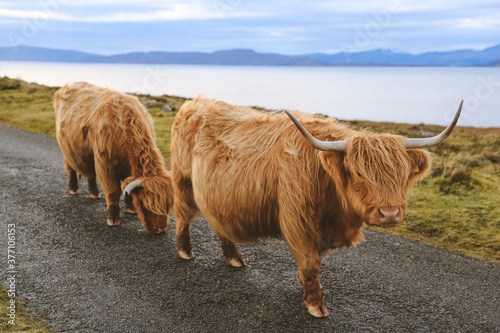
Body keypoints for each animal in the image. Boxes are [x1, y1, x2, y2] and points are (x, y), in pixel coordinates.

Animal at [53, 81, 173, 232]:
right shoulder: (105, 164)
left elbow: (127, 189)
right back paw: (73, 189)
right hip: (68, 150)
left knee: (90, 173)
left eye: (168, 205)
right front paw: (113, 219)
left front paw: (131, 209)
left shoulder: (128, 168)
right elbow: (113, 191)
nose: (160, 229)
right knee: (71, 169)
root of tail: (68, 85)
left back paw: (94, 193)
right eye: (147, 205)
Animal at [170, 96, 462, 316]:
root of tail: (192, 103)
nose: (389, 213)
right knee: (182, 214)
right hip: (183, 180)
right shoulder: (295, 219)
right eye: (359, 174)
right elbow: (311, 264)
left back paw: (234, 257)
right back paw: (185, 250)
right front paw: (315, 305)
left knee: (219, 223)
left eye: (401, 174)